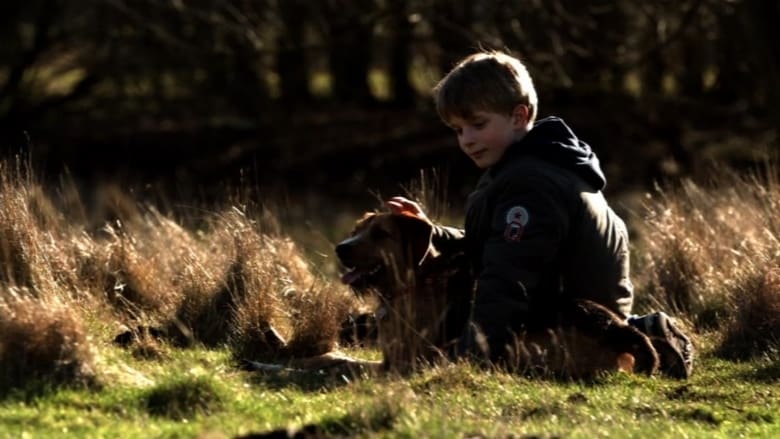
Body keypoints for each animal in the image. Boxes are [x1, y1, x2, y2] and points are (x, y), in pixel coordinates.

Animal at [336, 211, 660, 380]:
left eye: (381, 234)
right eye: (356, 230)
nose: (340, 247)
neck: (413, 281)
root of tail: (619, 331)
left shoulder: (406, 362)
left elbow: (349, 364)